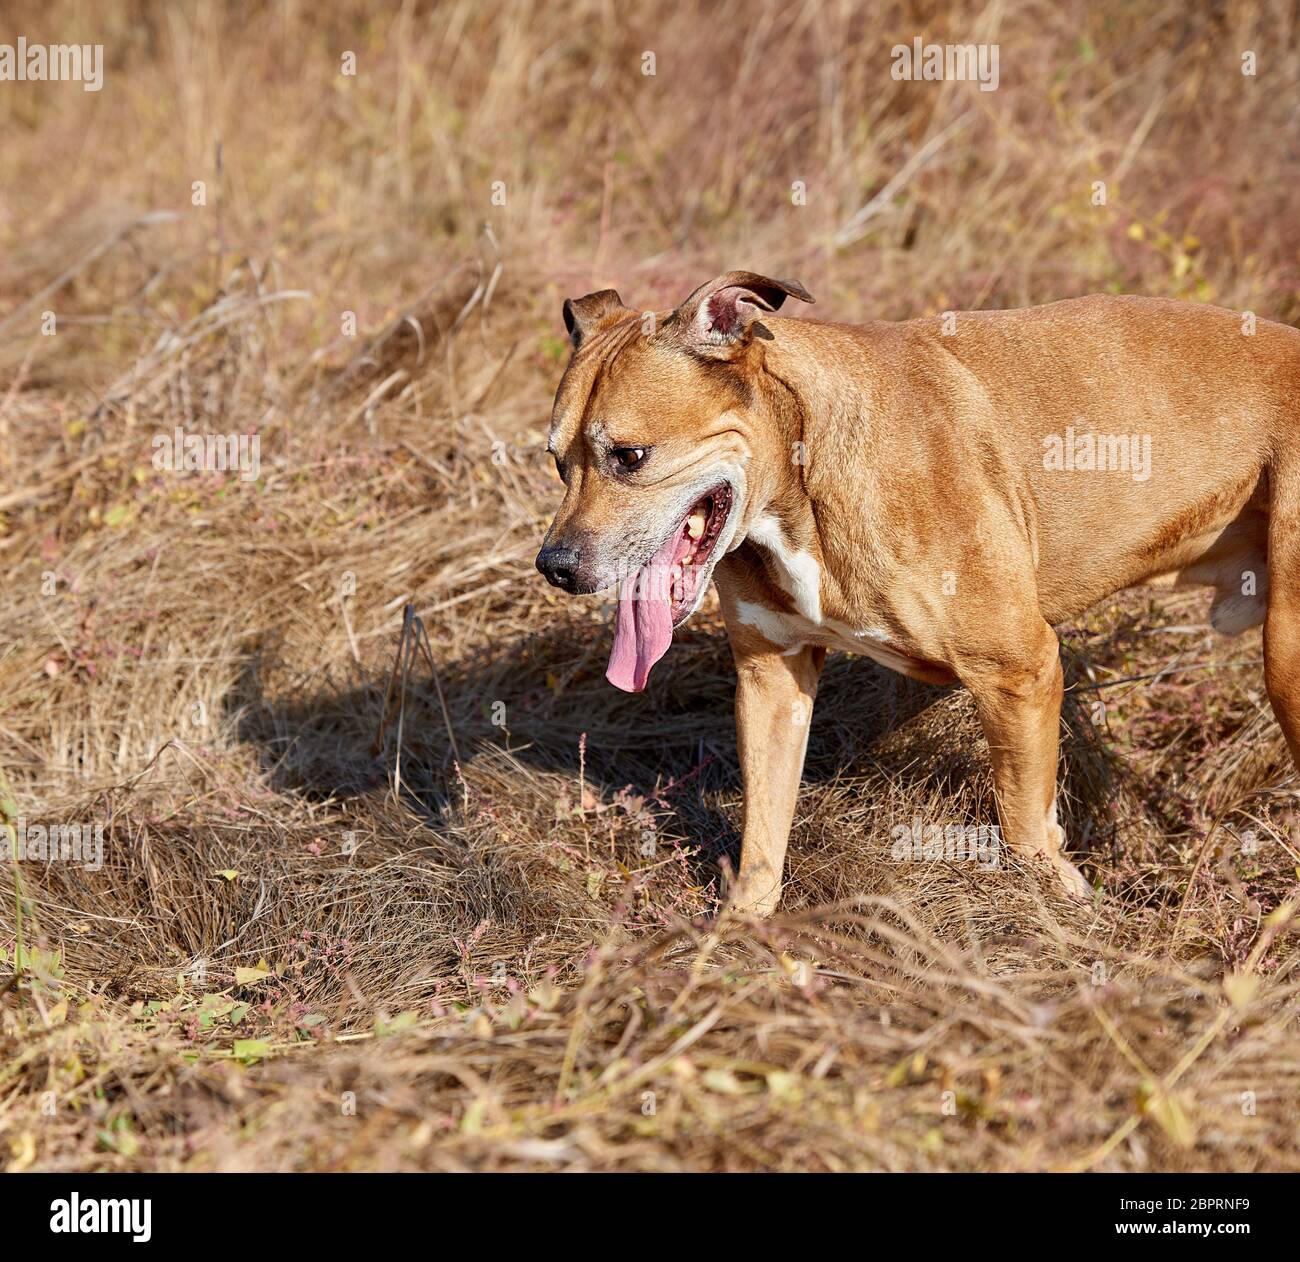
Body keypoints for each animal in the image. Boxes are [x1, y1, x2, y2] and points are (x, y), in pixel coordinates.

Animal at [533, 271, 1294, 914]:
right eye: (558, 461)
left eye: (631, 457)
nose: (555, 566)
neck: (802, 471)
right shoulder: (772, 680)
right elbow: (762, 837)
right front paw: (740, 942)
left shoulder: (1019, 673)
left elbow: (1025, 827)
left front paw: (1056, 915)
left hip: (1284, 657)